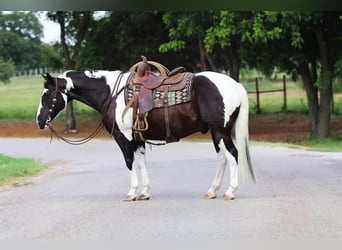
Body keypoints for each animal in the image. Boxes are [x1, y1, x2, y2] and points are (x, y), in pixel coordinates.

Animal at [36, 60, 255, 201]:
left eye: (47, 94)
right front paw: (145, 192)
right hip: (216, 133)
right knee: (222, 158)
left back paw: (230, 191)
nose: (39, 120)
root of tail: (235, 85)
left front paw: (132, 193)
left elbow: (129, 162)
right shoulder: (137, 138)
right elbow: (141, 162)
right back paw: (212, 191)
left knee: (232, 155)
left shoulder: (123, 136)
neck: (110, 93)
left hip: (220, 131)